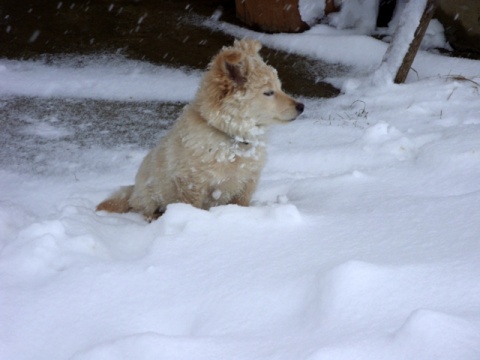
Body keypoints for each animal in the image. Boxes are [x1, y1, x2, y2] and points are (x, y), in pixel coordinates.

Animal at [96, 39, 304, 219]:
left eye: (280, 87)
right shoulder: (192, 184)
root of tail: (133, 191)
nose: (301, 106)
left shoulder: (247, 183)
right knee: (144, 209)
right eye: (268, 93)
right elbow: (193, 207)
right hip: (149, 192)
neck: (233, 140)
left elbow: (242, 204)